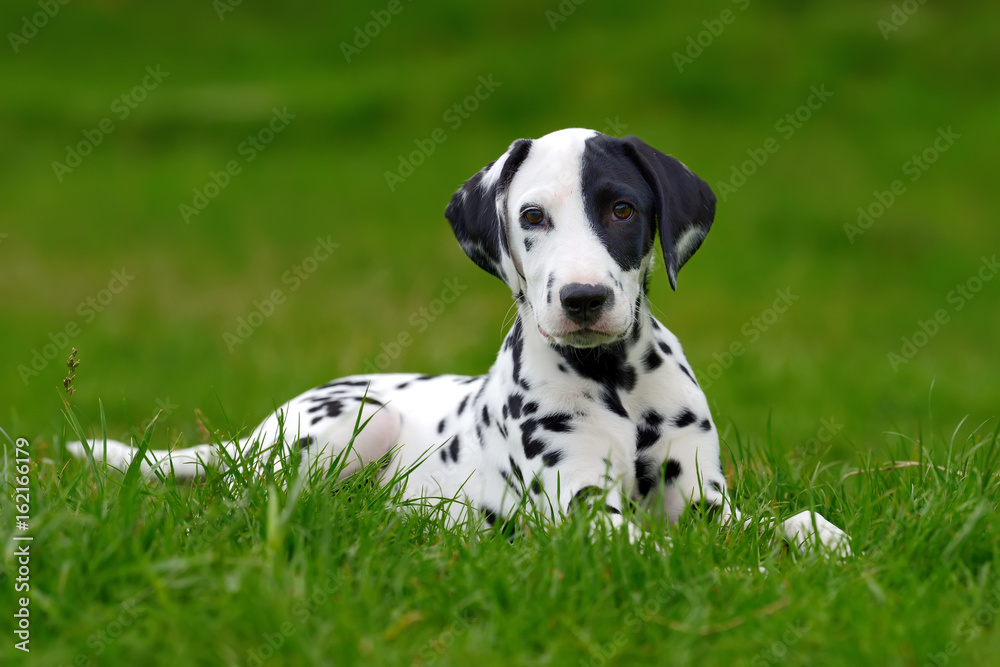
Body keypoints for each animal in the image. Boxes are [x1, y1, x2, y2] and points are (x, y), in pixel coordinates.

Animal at [68, 128, 852, 556]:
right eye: (531, 215)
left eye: (623, 209)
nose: (583, 299)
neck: (616, 380)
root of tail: (249, 437)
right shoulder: (582, 512)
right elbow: (670, 553)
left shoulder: (701, 499)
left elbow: (795, 521)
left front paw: (832, 548)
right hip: (357, 424)